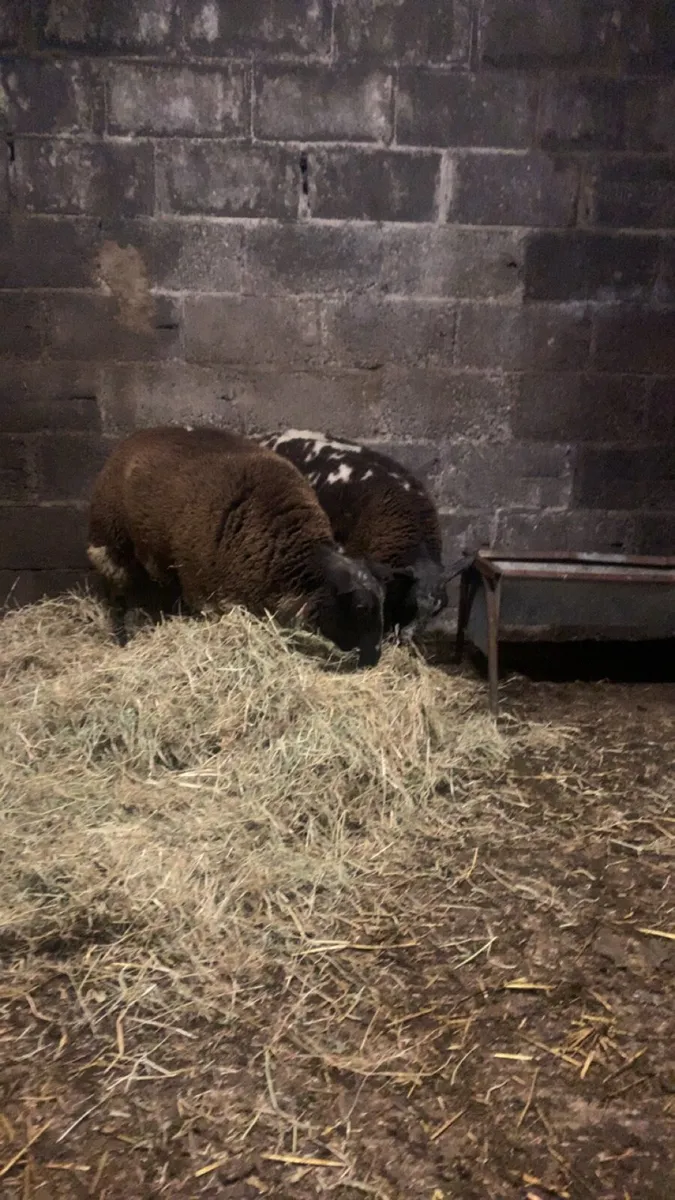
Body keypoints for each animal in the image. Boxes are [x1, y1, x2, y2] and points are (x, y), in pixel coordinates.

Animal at [87, 426, 389, 668]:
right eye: (361, 607)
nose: (374, 659)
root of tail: (135, 436)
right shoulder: (207, 594)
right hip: (111, 544)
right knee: (117, 596)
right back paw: (122, 638)